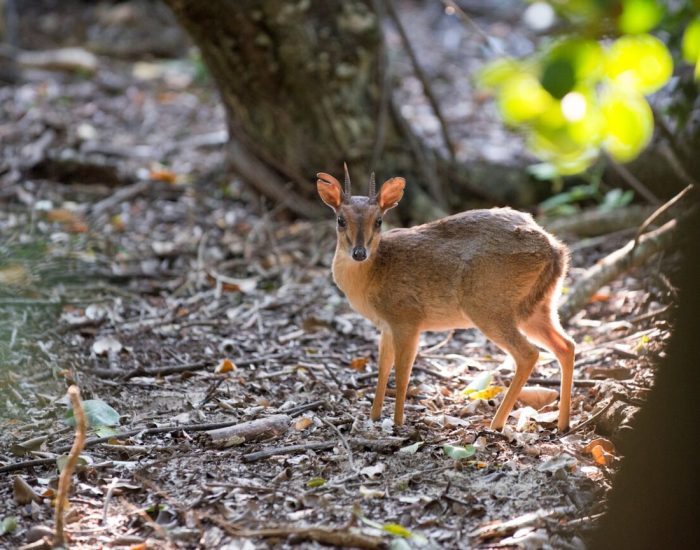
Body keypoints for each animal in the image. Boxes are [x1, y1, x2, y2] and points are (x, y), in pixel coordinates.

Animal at [317, 166, 575, 432]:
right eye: (340, 220)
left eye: (379, 221)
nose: (359, 253)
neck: (374, 274)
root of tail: (555, 249)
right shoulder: (386, 325)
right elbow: (383, 368)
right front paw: (374, 417)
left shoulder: (407, 318)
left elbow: (402, 373)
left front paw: (398, 422)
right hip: (539, 306)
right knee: (566, 345)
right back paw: (563, 423)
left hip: (488, 306)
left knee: (528, 353)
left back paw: (496, 424)